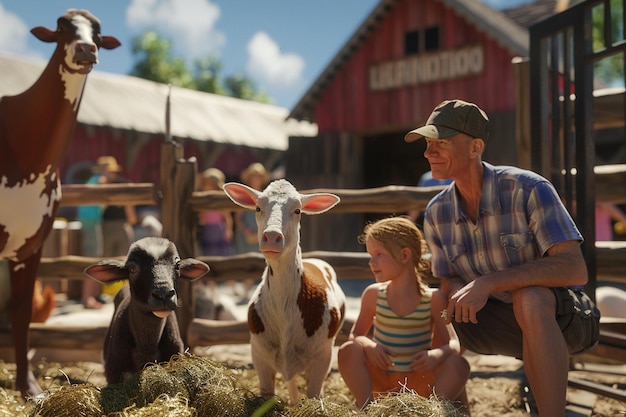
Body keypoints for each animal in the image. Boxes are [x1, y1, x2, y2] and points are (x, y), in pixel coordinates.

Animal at [0, 8, 119, 394]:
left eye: (98, 33)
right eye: (62, 28)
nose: (85, 48)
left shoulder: (32, 243)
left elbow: (21, 311)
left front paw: (29, 387)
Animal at [222, 178, 344, 404]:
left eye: (297, 210)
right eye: (258, 208)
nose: (271, 236)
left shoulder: (323, 357)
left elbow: (314, 394)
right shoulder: (259, 355)